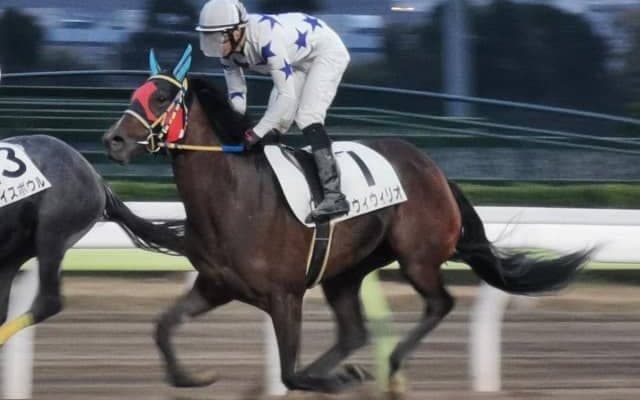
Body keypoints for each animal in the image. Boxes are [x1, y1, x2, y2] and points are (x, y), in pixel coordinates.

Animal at [102, 47, 591, 393]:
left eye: (161, 96)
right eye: (133, 94)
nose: (113, 140)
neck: (234, 197)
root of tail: (435, 170)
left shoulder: (285, 296)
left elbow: (291, 372)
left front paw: (340, 379)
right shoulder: (215, 285)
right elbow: (164, 327)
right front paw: (193, 377)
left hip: (417, 256)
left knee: (440, 303)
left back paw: (390, 366)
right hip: (346, 271)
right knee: (355, 330)